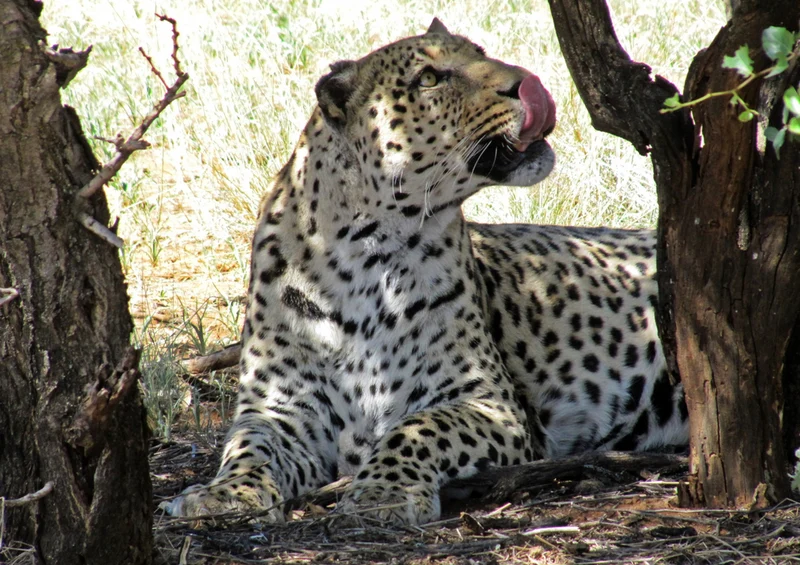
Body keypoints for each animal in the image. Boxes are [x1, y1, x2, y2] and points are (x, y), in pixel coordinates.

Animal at [165, 18, 688, 525]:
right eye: (429, 78)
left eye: (479, 52)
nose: (527, 82)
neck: (364, 253)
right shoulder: (277, 408)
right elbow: (248, 448)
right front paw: (223, 495)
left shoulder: (489, 401)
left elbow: (417, 429)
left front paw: (383, 493)